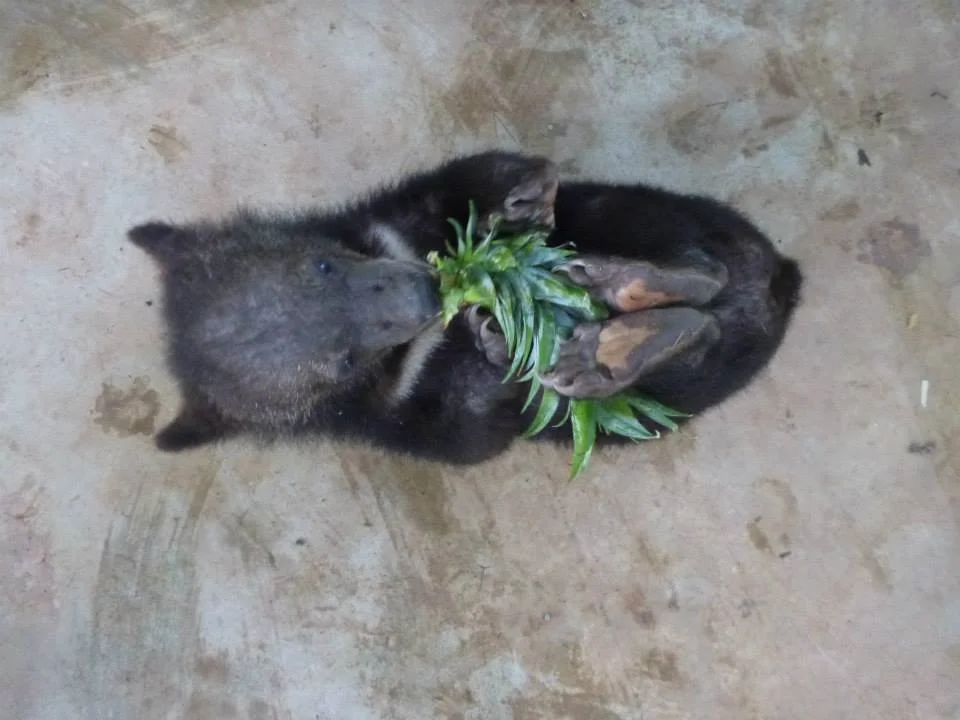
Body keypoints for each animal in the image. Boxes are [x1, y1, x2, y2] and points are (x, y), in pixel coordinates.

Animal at [128, 150, 802, 465]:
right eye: (340, 361)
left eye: (323, 267)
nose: (429, 295)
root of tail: (779, 278)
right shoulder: (400, 422)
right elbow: (475, 430)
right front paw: (502, 342)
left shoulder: (395, 213)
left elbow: (461, 181)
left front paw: (522, 196)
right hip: (699, 381)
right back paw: (616, 345)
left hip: (651, 213)